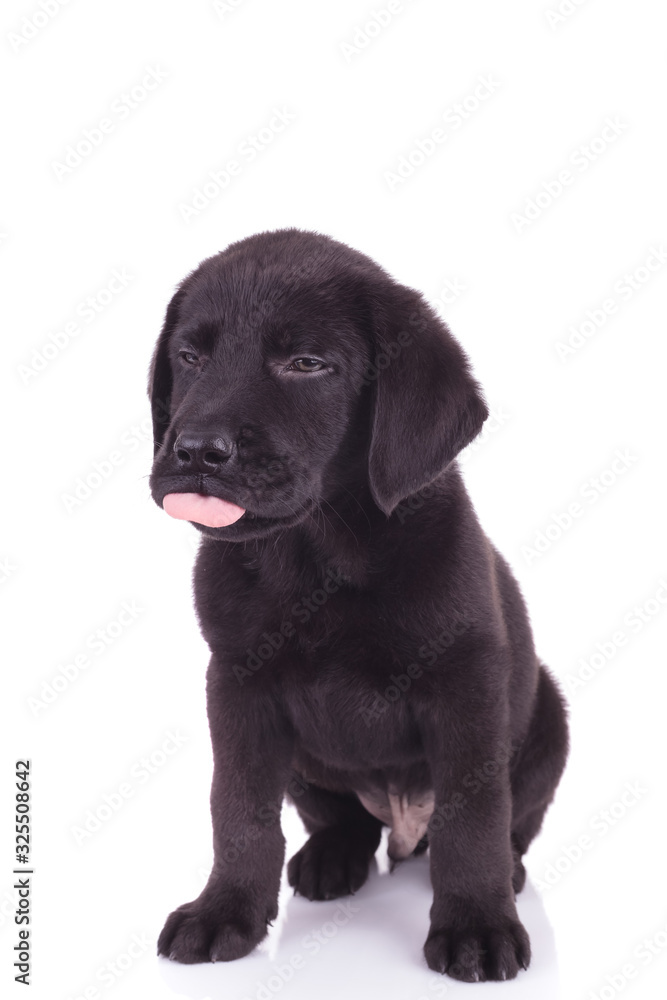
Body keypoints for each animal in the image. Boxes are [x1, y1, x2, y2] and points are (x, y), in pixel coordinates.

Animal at [147, 229, 568, 984]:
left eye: (307, 364)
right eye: (189, 357)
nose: (194, 450)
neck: (316, 555)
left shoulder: (467, 686)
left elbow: (474, 819)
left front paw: (477, 924)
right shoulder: (238, 686)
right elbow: (239, 808)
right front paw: (224, 910)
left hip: (548, 715)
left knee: (508, 824)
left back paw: (508, 877)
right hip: (308, 767)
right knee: (344, 818)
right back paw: (329, 859)